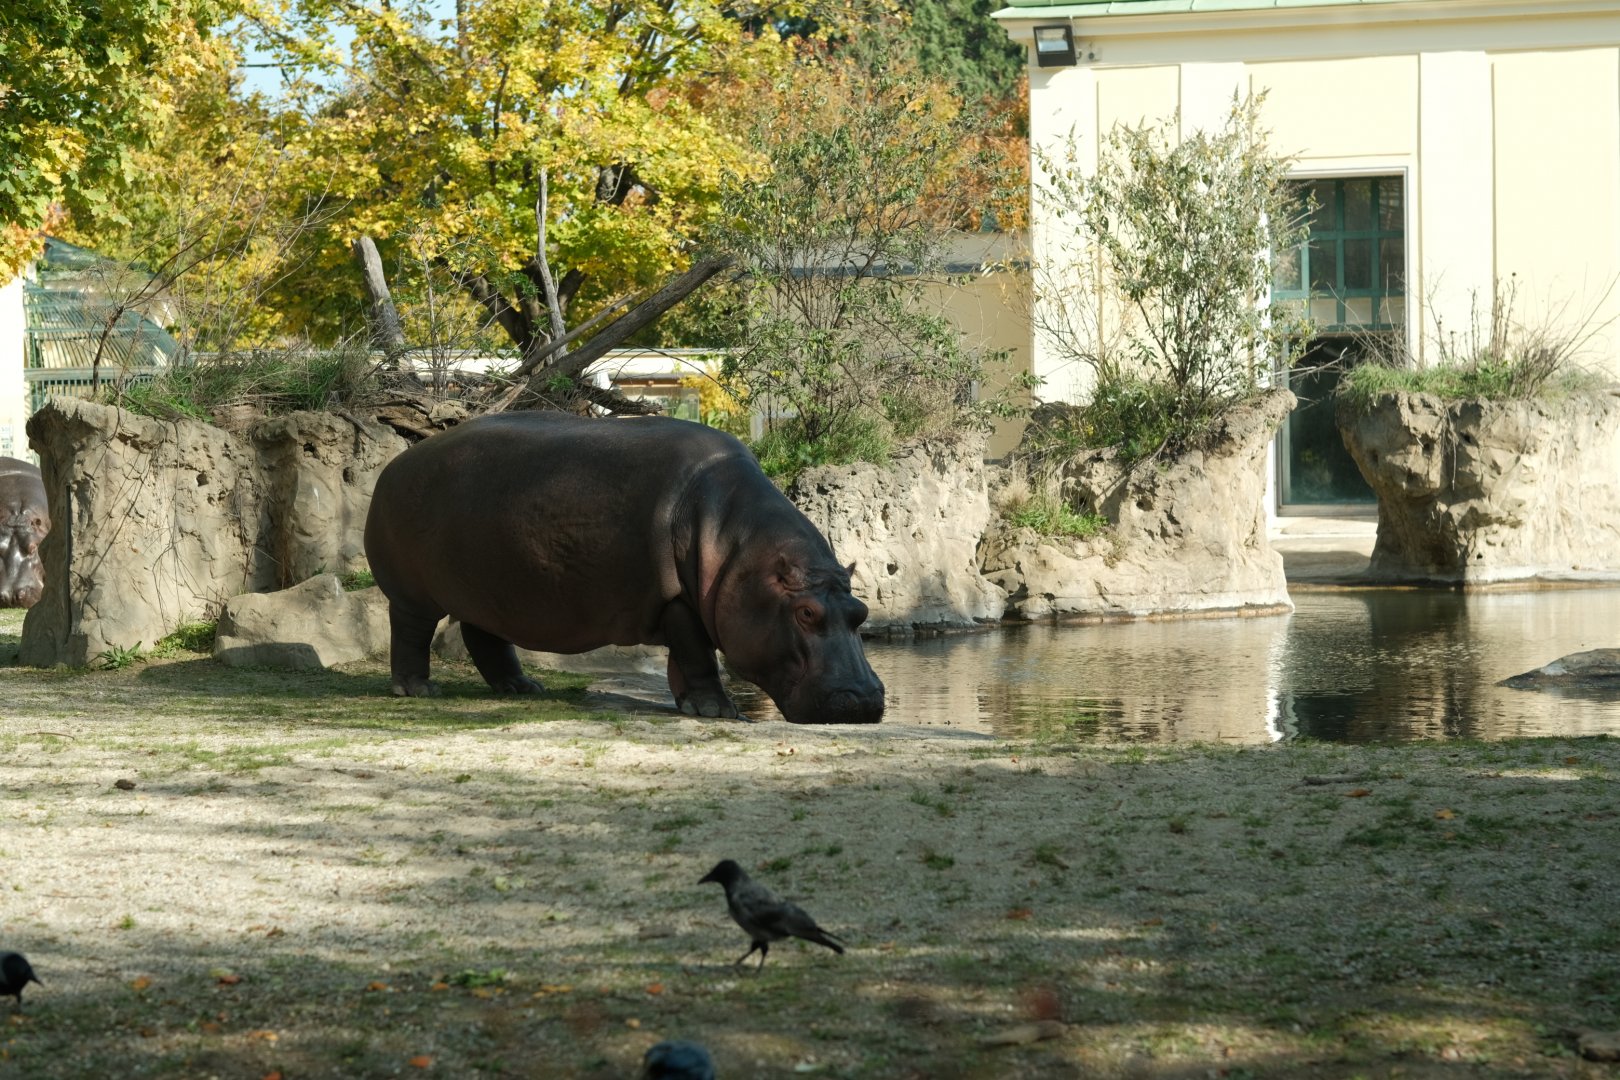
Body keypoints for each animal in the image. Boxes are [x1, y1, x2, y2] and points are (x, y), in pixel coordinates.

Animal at [362, 412, 885, 724]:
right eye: (806, 614)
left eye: (860, 613)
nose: (863, 700)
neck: (741, 554)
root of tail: (396, 464)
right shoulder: (676, 600)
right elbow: (697, 654)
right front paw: (718, 711)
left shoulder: (680, 603)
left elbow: (685, 661)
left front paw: (692, 705)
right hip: (413, 594)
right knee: (410, 633)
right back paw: (417, 690)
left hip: (488, 590)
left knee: (483, 636)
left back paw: (521, 687)